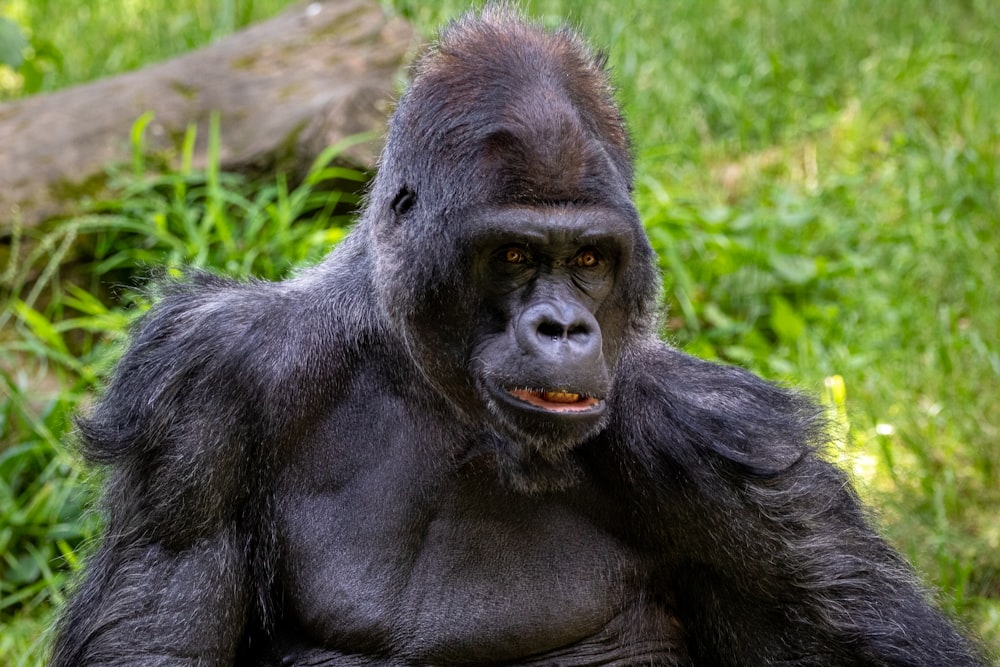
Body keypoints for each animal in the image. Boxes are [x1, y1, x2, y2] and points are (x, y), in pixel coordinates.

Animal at [50, 6, 980, 667]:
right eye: (513, 254)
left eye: (592, 258)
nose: (563, 326)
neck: (433, 387)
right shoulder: (206, 386)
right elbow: (159, 638)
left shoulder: (733, 452)